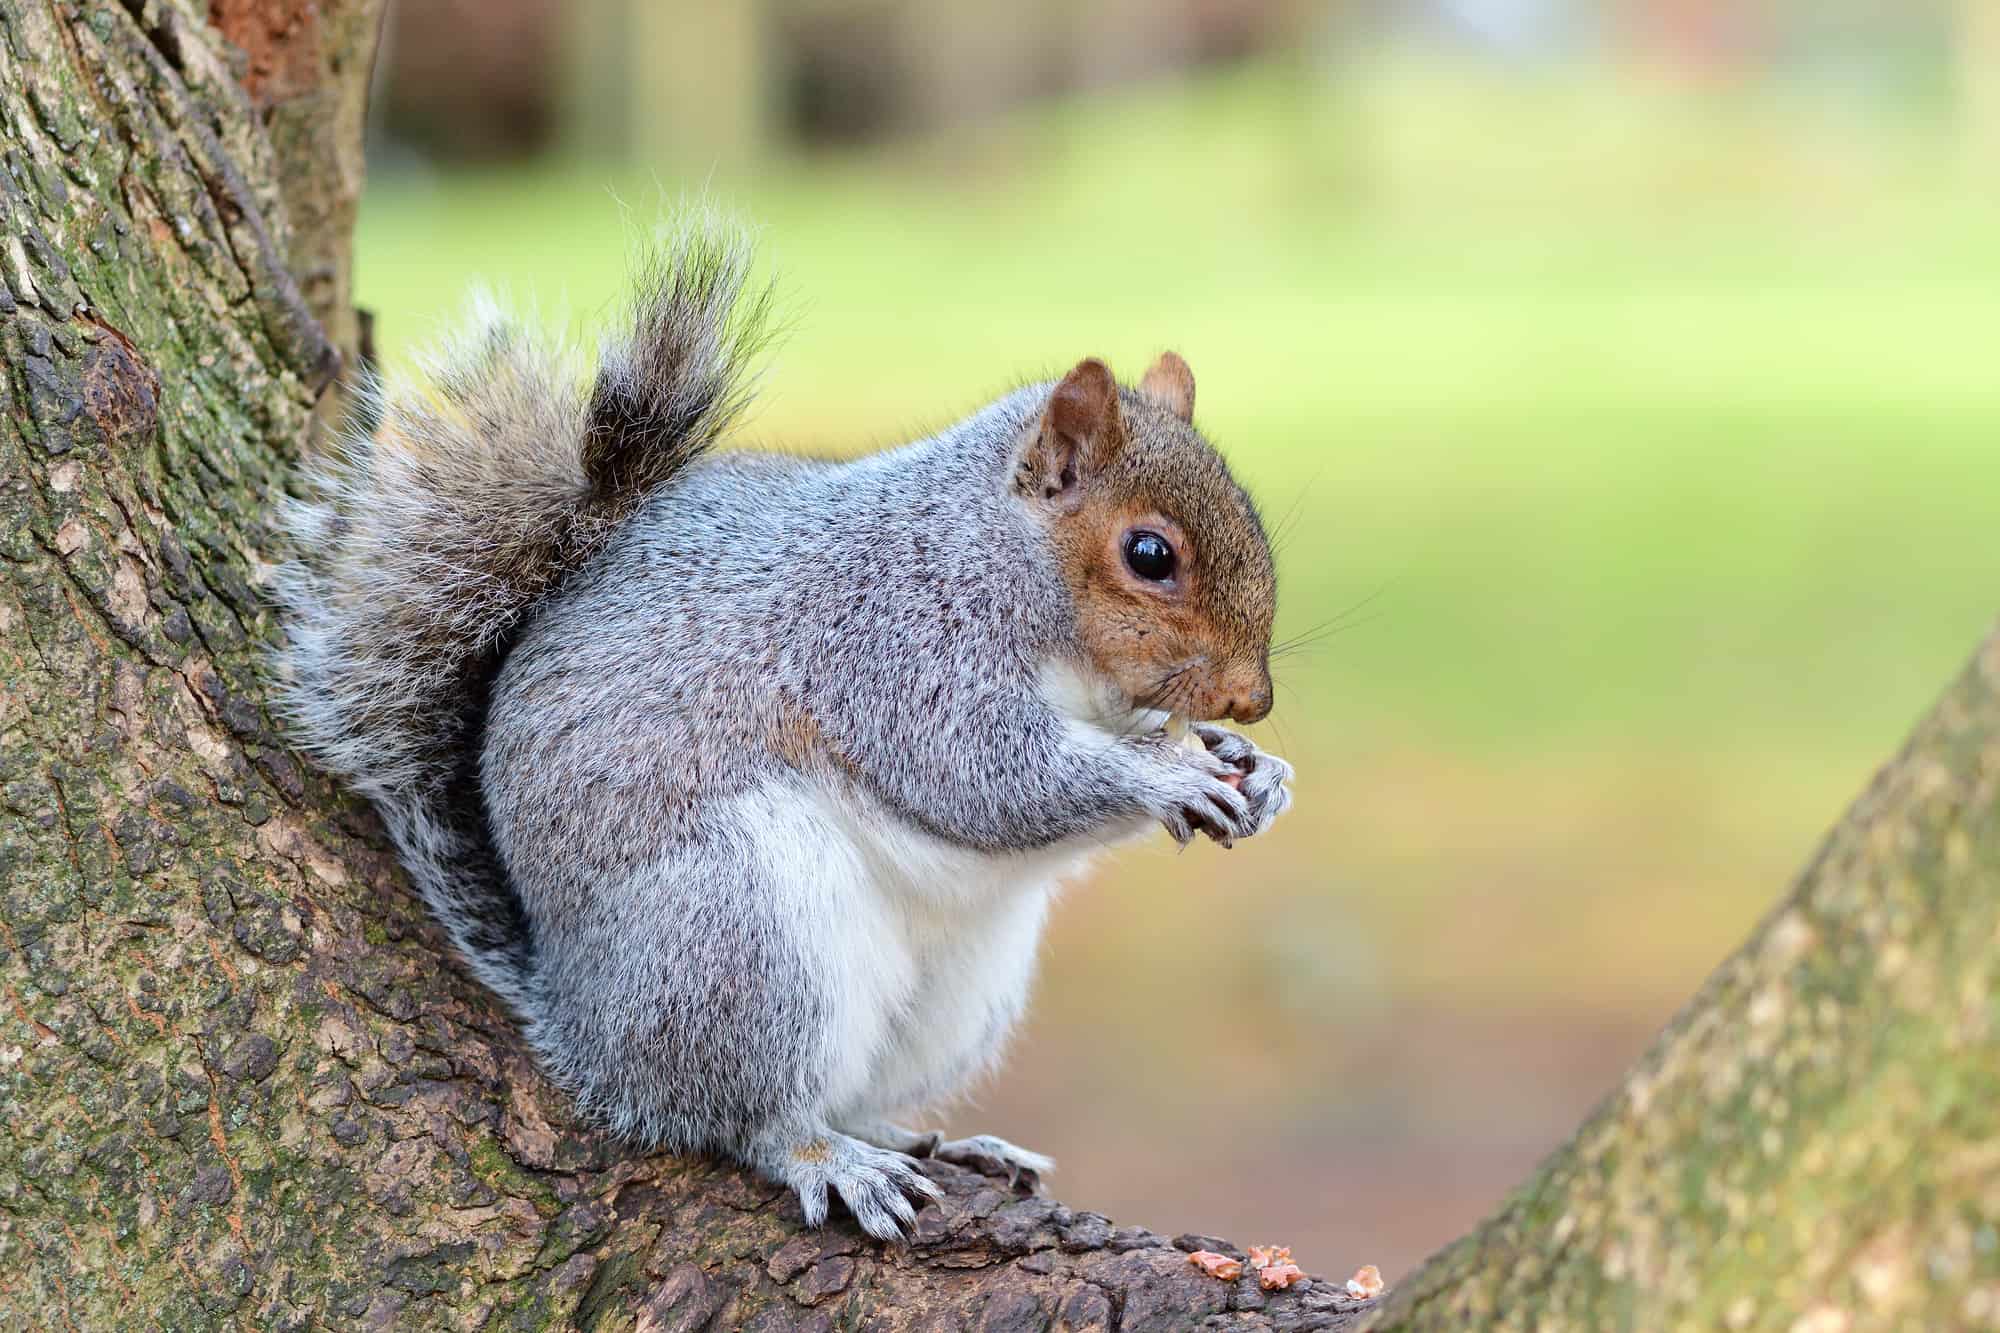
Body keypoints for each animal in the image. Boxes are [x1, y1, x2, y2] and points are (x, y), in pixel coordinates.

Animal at [275, 216, 1293, 1240]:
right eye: (1149, 554)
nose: (1254, 698)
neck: (999, 560)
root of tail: (578, 1018)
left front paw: (1253, 766)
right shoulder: (891, 645)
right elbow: (987, 777)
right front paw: (1169, 774)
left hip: (958, 986)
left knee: (856, 1087)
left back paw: (937, 1140)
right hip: (742, 935)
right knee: (737, 1113)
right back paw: (828, 1156)